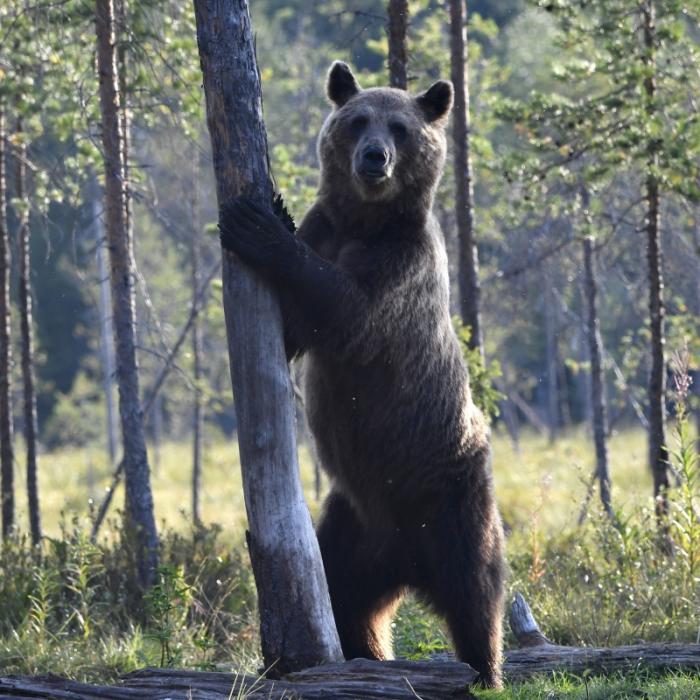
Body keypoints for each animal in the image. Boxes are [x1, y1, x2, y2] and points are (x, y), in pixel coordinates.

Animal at [219, 61, 506, 688]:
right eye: (357, 121)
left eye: (399, 127)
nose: (374, 158)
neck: (366, 221)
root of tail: (404, 556)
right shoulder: (330, 229)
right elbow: (292, 332)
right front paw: (273, 210)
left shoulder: (400, 267)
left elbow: (349, 309)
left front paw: (256, 223)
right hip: (351, 525)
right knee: (344, 593)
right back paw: (366, 656)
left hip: (452, 492)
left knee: (475, 588)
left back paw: (484, 669)